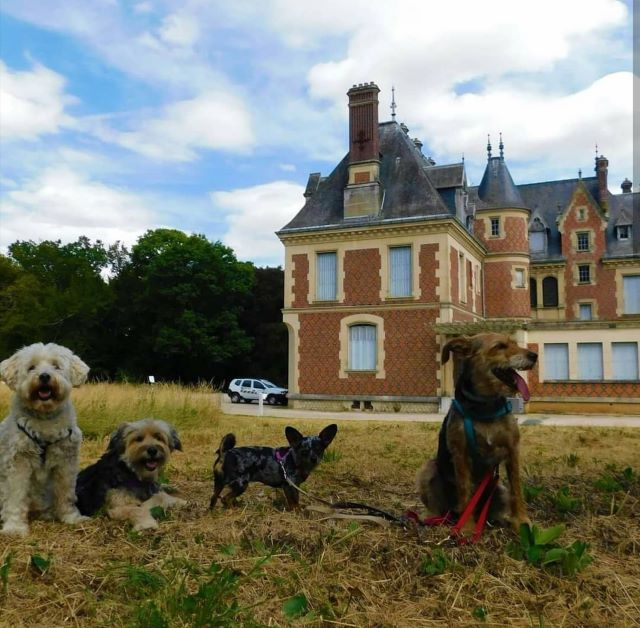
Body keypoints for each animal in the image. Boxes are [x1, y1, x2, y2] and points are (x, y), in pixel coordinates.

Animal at [0, 344, 90, 536]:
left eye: (56, 366)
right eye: (31, 367)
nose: (44, 376)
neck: (44, 418)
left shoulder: (66, 462)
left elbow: (66, 492)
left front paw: (71, 517)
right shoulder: (18, 463)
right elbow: (16, 495)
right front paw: (14, 527)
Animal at [418, 332, 536, 532]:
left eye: (514, 343)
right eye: (500, 346)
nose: (534, 356)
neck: (485, 407)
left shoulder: (512, 450)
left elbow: (516, 488)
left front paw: (521, 520)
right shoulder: (461, 454)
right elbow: (465, 489)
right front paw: (466, 527)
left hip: (499, 491)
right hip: (428, 469)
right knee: (438, 507)